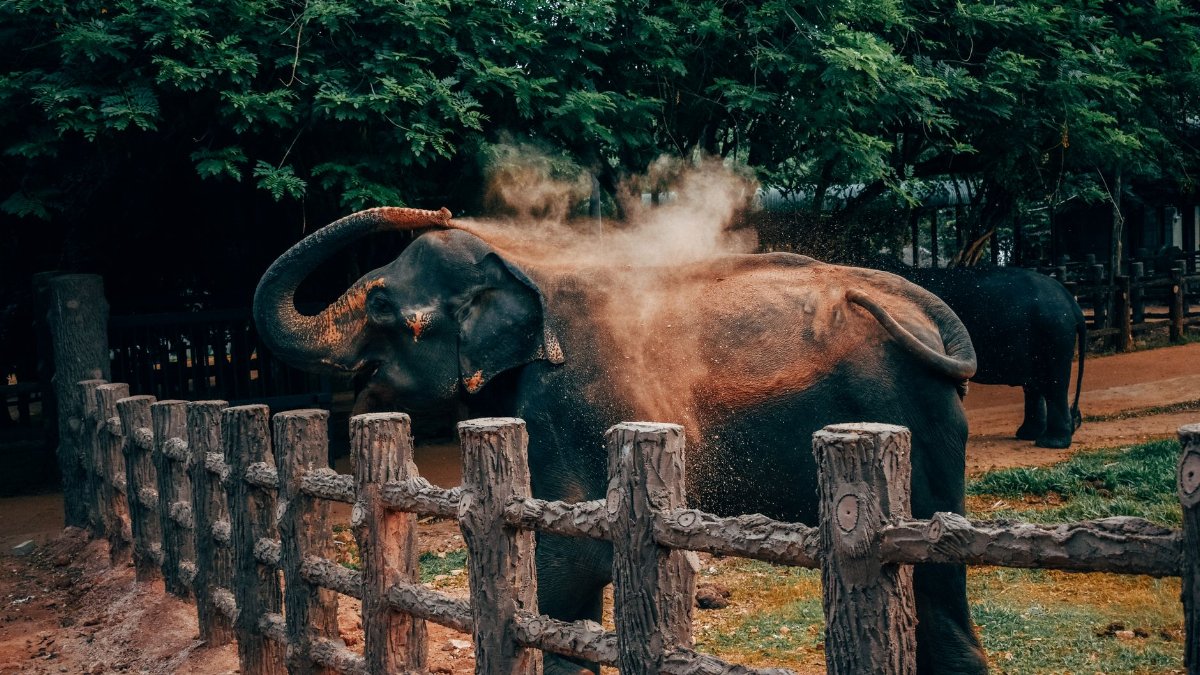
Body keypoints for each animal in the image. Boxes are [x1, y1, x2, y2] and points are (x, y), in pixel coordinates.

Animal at [253, 206, 988, 674]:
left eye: (381, 308)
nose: (434, 206)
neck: (521, 268)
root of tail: (930, 308)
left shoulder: (569, 403)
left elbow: (571, 564)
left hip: (911, 420)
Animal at [896, 266, 1086, 449]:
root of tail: (1072, 302)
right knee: (1035, 384)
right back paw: (1029, 435)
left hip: (1054, 333)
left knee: (1054, 383)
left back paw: (1050, 443)